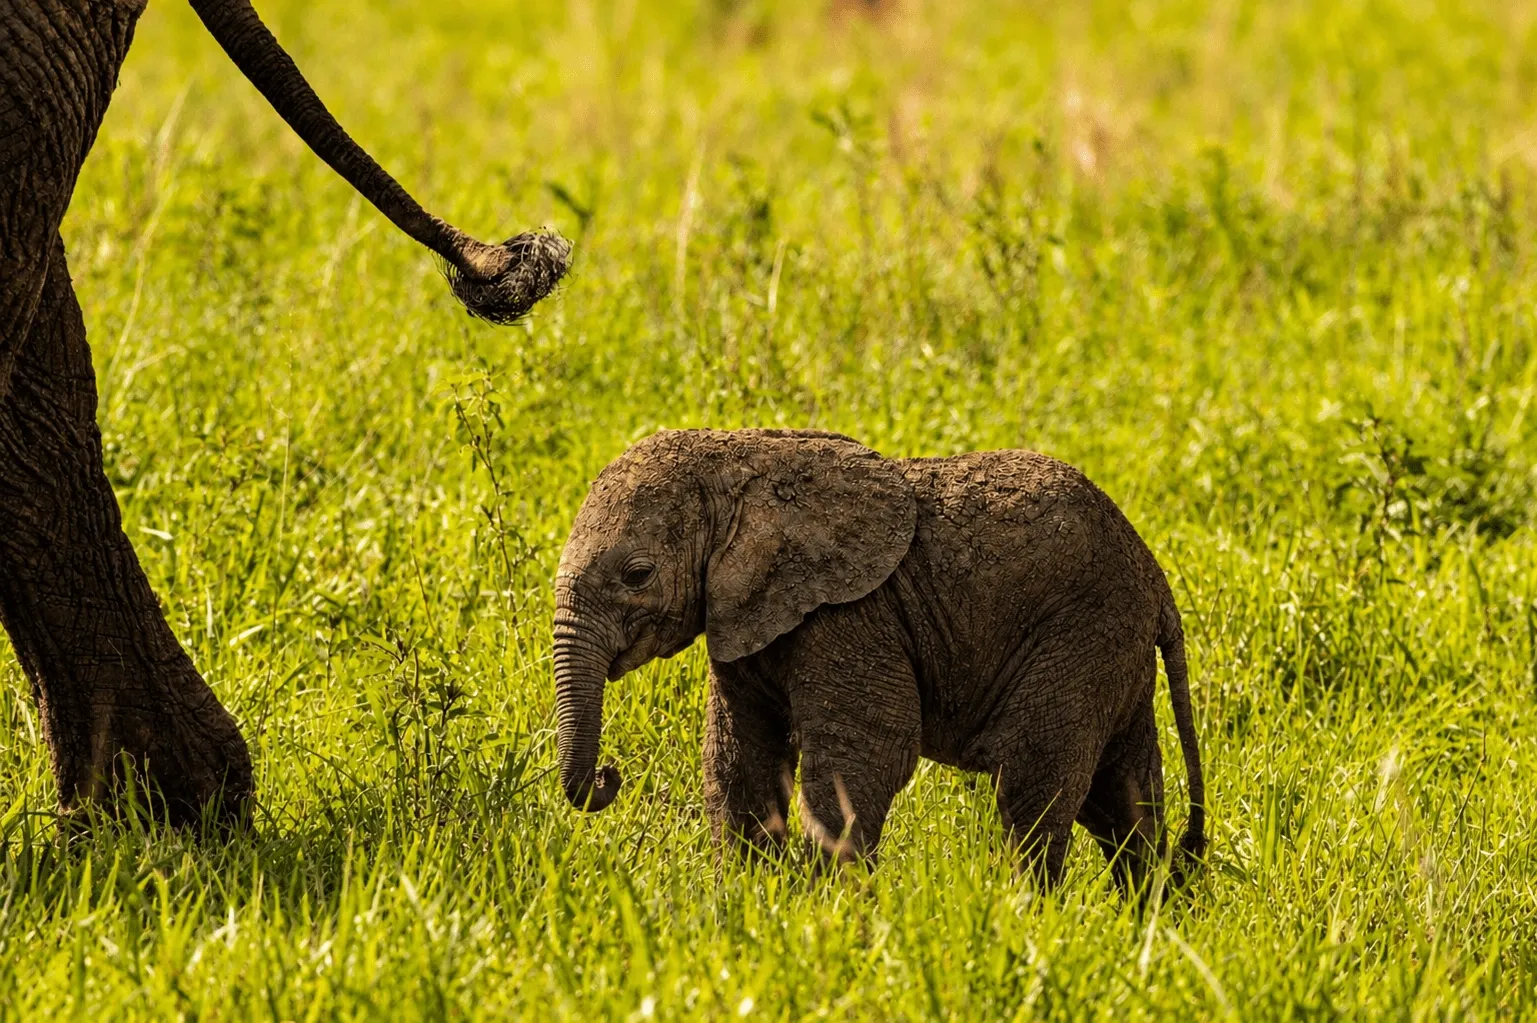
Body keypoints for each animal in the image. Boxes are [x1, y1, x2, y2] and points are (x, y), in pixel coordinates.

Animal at [553, 429, 1206, 890]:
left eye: (637, 575)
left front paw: (824, 910)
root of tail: (1154, 575)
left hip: (1082, 636)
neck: (741, 459)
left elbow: (866, 750)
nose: (610, 775)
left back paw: (1025, 914)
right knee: (1123, 799)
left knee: (1032, 788)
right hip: (1110, 649)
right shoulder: (740, 613)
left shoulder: (853, 615)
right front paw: (745, 906)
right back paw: (1151, 921)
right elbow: (739, 758)